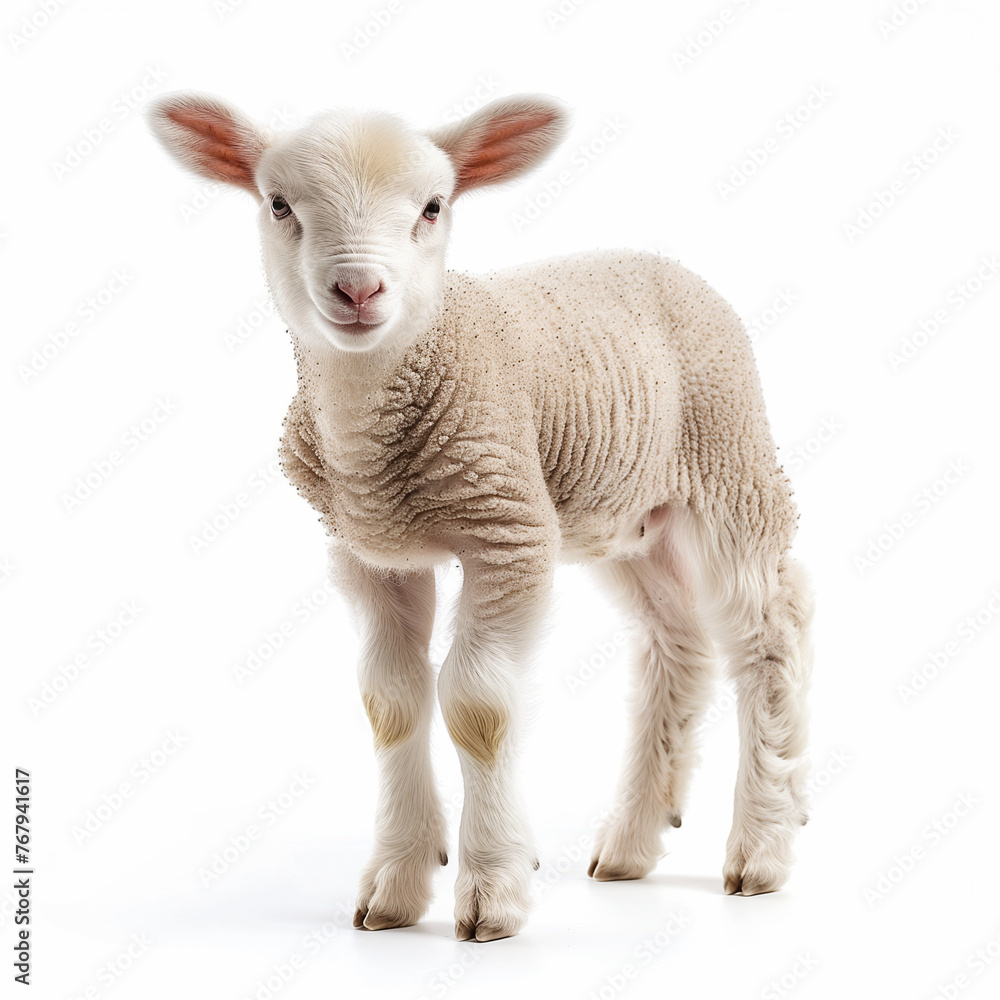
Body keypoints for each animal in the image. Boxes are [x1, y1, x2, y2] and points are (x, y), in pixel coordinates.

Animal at [145, 90, 813, 942]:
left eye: (434, 206)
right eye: (279, 204)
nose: (358, 290)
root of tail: (661, 262)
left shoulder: (509, 532)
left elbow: (476, 706)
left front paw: (492, 890)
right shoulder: (372, 554)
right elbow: (390, 703)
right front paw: (396, 885)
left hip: (728, 461)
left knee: (769, 635)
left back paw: (761, 848)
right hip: (627, 518)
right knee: (677, 644)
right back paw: (630, 843)